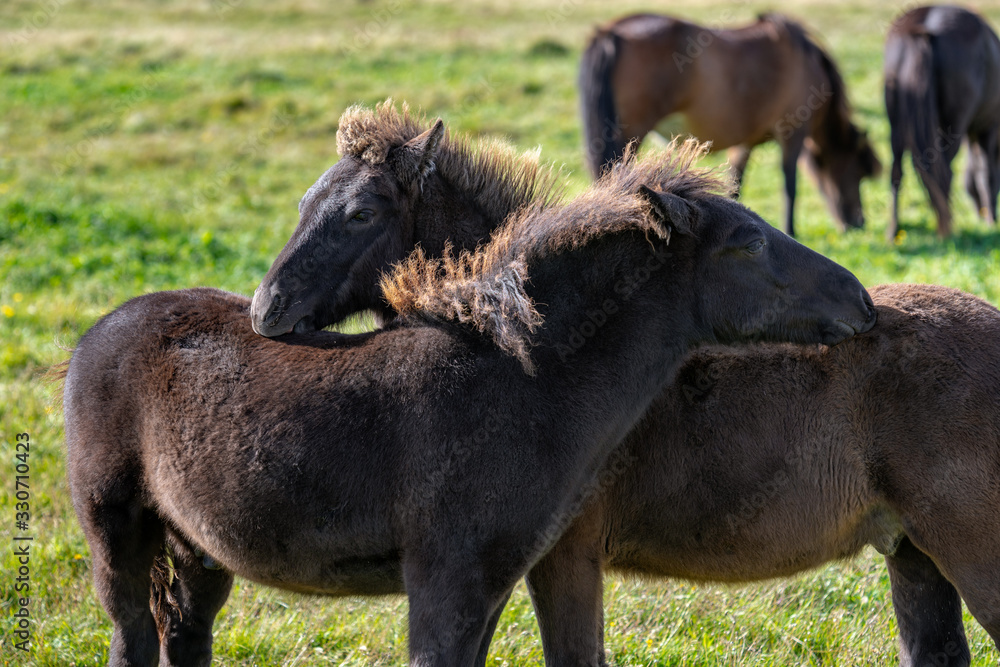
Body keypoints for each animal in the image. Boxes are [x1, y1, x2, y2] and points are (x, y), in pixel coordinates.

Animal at [63, 139, 876, 667]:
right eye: (747, 240)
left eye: (359, 213)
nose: (861, 300)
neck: (523, 379)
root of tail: (100, 329)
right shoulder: (447, 583)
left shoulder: (496, 580)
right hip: (116, 530)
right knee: (133, 635)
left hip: (196, 544)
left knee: (184, 635)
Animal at [579, 12, 882, 237]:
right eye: (858, 173)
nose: (859, 223)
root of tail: (611, 33)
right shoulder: (793, 133)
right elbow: (790, 185)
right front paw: (790, 230)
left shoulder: (745, 141)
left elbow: (735, 185)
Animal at [885, 5, 1000, 239]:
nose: (982, 213)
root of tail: (925, 26)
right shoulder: (988, 126)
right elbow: (986, 172)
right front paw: (991, 221)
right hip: (953, 124)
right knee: (944, 173)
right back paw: (947, 230)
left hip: (896, 125)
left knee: (896, 172)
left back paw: (894, 229)